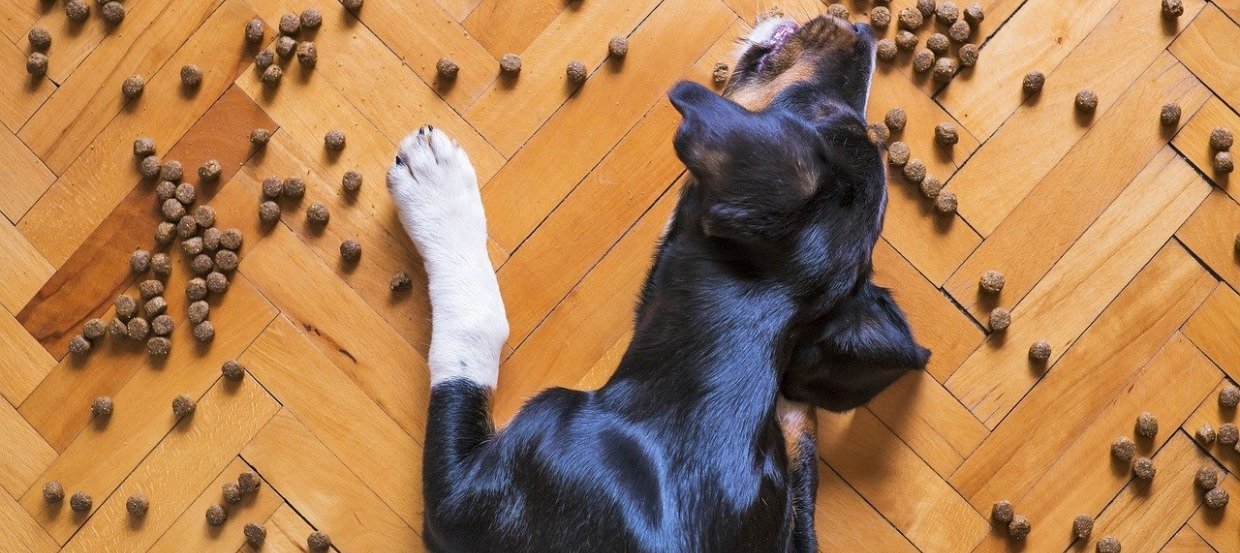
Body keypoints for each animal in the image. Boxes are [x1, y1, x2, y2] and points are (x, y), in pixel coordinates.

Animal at [386, 14, 932, 553]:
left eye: (820, 115)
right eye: (844, 120)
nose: (863, 32)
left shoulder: (462, 503)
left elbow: (474, 333)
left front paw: (435, 187)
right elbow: (799, 474)